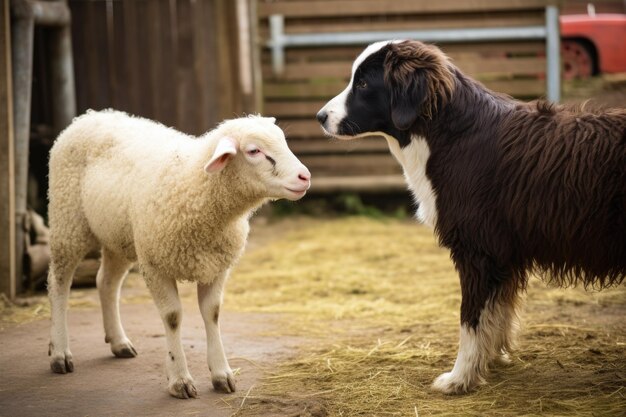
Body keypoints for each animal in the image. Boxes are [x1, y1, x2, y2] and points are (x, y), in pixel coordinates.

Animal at [46, 109, 310, 396]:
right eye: (254, 151)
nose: (304, 176)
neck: (193, 184)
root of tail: (89, 116)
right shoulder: (154, 265)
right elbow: (172, 317)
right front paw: (180, 379)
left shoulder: (216, 266)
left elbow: (212, 313)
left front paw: (221, 373)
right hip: (68, 222)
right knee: (59, 284)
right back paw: (59, 353)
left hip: (119, 236)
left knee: (106, 282)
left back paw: (119, 342)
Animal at [316, 39, 624, 394]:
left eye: (364, 84)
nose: (320, 117)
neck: (449, 133)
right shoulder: (504, 256)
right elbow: (497, 314)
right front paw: (491, 360)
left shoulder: (478, 251)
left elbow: (471, 319)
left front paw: (460, 377)